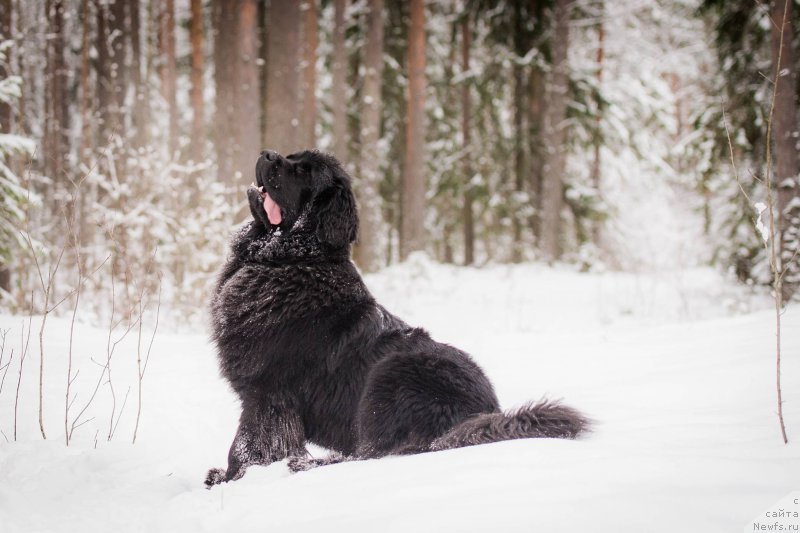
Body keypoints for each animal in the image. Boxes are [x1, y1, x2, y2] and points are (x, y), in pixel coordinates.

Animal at [203, 150, 584, 486]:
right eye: (290, 156)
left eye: (303, 171)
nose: (267, 153)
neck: (290, 260)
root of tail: (484, 412)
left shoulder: (267, 391)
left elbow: (245, 444)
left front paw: (231, 481)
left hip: (391, 375)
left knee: (377, 452)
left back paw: (309, 464)